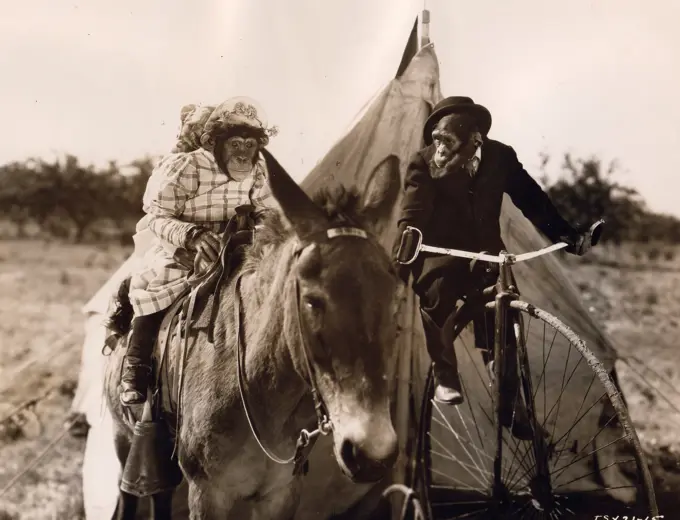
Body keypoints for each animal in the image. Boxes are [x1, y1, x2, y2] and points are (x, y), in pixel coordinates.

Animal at [394, 96, 600, 438]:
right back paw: (451, 385)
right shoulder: (418, 171)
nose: (438, 153)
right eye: (435, 140)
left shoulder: (509, 163)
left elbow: (532, 195)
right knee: (439, 306)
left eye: (446, 140)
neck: (467, 162)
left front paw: (573, 237)